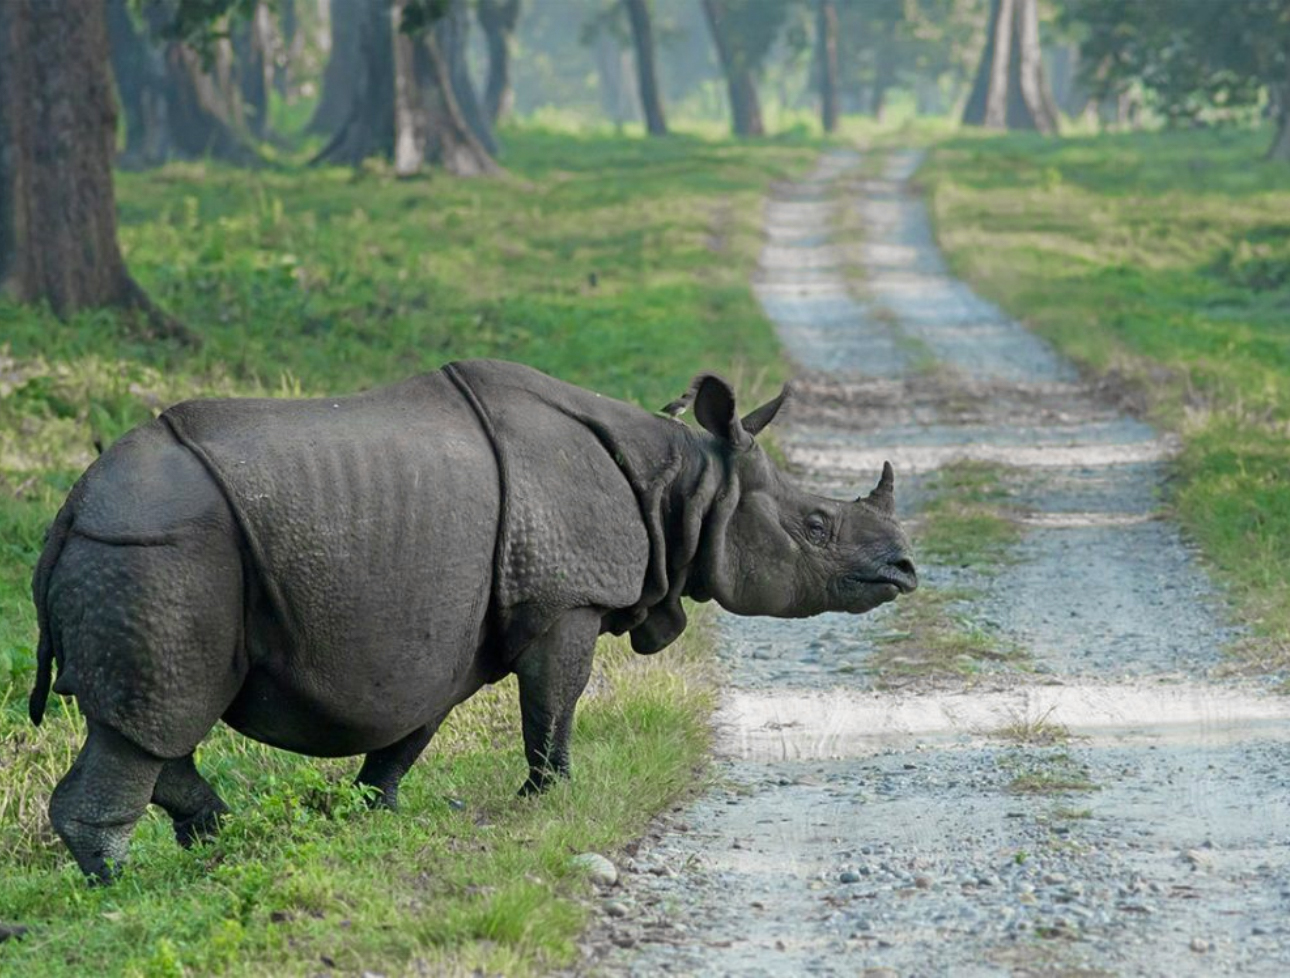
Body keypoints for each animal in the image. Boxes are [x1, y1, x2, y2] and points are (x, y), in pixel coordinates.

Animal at [29, 359, 916, 881]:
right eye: (816, 527)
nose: (906, 571)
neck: (688, 482)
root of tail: (71, 507)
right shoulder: (567, 598)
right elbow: (555, 700)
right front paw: (550, 798)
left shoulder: (449, 629)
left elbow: (411, 730)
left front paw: (374, 813)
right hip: (162, 550)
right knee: (153, 719)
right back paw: (120, 891)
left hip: (152, 550)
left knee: (159, 722)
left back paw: (216, 840)